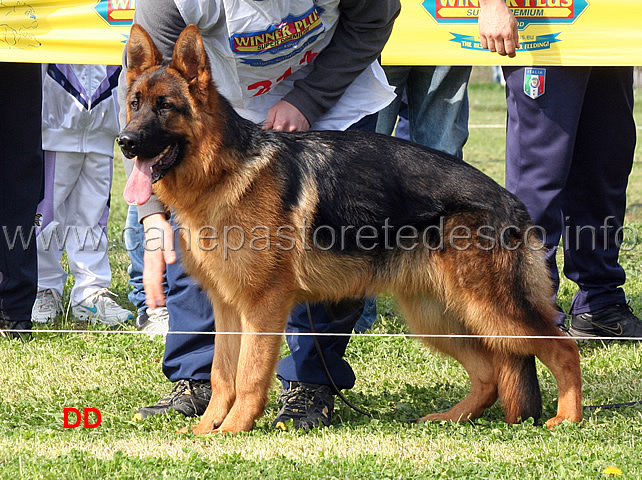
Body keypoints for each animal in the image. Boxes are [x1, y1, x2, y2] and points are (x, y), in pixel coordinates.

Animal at [117, 23, 584, 436]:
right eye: (135, 103)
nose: (124, 142)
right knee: (490, 372)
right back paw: (451, 419)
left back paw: (568, 418)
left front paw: (232, 429)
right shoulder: (229, 309)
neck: (225, 170)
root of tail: (512, 203)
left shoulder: (263, 307)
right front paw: (206, 428)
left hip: (490, 310)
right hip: (439, 314)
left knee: (563, 348)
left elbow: (248, 376)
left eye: (165, 106)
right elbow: (221, 376)